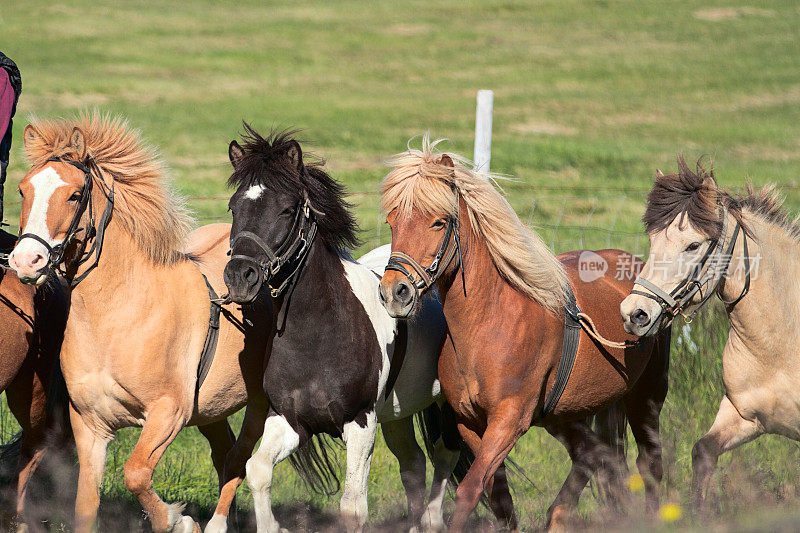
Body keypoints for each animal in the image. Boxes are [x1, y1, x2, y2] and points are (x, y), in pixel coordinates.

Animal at [4, 113, 276, 532]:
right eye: (22, 191)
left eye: (74, 195)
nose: (26, 261)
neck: (120, 315)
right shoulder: (91, 426)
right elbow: (86, 505)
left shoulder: (167, 415)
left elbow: (136, 474)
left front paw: (179, 520)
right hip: (211, 409)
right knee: (225, 456)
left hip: (259, 403)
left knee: (240, 458)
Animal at [209, 125, 460, 532]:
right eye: (234, 207)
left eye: (286, 208)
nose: (239, 277)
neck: (319, 335)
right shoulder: (289, 420)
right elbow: (257, 470)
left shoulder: (360, 424)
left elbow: (352, 508)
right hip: (398, 415)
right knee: (413, 464)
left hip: (445, 408)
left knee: (445, 458)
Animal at [378, 135, 672, 528]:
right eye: (393, 221)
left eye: (439, 222)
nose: (395, 293)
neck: (488, 324)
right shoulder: (473, 424)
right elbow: (498, 498)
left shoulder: (508, 421)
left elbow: (469, 491)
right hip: (568, 414)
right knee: (592, 456)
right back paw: (558, 516)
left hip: (645, 398)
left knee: (649, 463)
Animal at [620, 157, 800, 512]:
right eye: (652, 240)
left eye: (693, 245)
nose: (635, 314)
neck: (781, 343)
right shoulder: (744, 415)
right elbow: (703, 452)